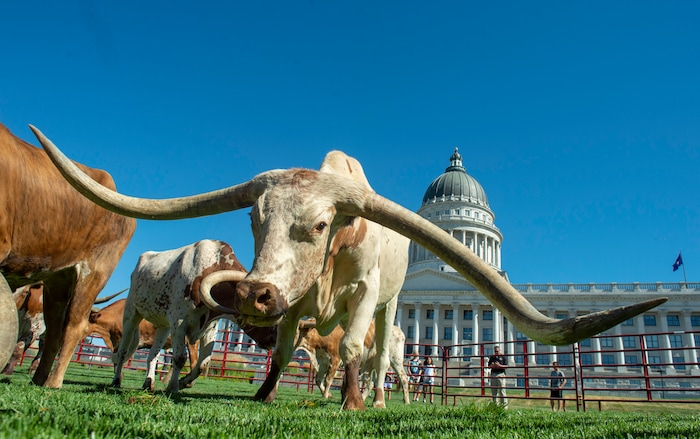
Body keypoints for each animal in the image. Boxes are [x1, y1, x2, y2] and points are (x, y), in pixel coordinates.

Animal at [0, 123, 136, 388]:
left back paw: (53, 382)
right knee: (55, 331)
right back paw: (38, 379)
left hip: (94, 272)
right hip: (58, 279)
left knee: (73, 326)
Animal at [110, 239, 250, 393]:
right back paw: (116, 380)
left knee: (153, 354)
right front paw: (173, 386)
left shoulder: (210, 328)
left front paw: (183, 382)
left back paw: (149, 382)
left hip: (163, 326)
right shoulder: (178, 323)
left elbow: (203, 363)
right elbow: (180, 357)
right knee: (123, 351)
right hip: (131, 313)